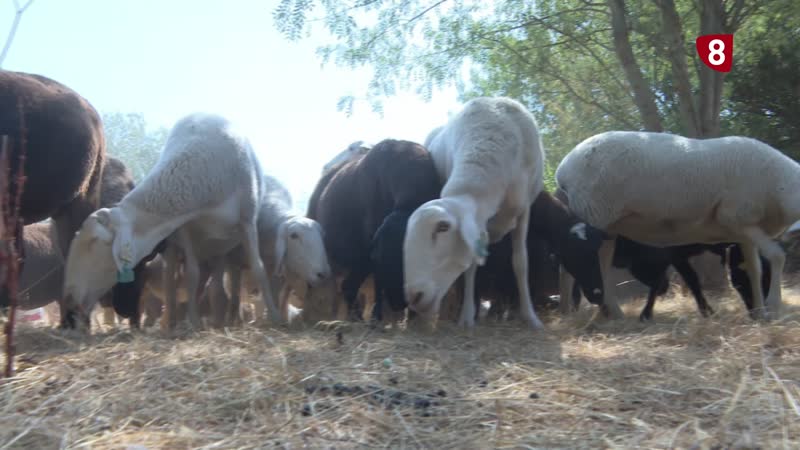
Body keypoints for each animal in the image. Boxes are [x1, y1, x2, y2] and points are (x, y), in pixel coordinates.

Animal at [62, 112, 284, 330]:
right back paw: (172, 322)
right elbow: (192, 275)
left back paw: (218, 321)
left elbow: (259, 268)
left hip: (221, 248)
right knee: (170, 281)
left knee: (216, 286)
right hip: (175, 248)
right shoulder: (185, 229)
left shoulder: (248, 220)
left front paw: (275, 317)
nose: (69, 297)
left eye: (96, 245)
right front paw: (194, 323)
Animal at [307, 138, 441, 323]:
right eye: (385, 258)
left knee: (348, 286)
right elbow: (376, 284)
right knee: (343, 286)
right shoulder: (373, 252)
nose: (398, 303)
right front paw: (377, 317)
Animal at [403, 97, 547, 329]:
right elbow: (471, 265)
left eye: (443, 227)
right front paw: (467, 316)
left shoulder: (524, 209)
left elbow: (520, 262)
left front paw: (530, 318)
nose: (414, 297)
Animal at [555, 131, 799, 320]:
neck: (782, 186)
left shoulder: (744, 229)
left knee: (601, 269)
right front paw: (774, 307)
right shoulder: (736, 218)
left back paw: (612, 314)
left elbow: (754, 269)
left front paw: (761, 312)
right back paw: (569, 314)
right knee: (570, 268)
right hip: (591, 214)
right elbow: (777, 256)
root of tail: (562, 169)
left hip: (607, 227)